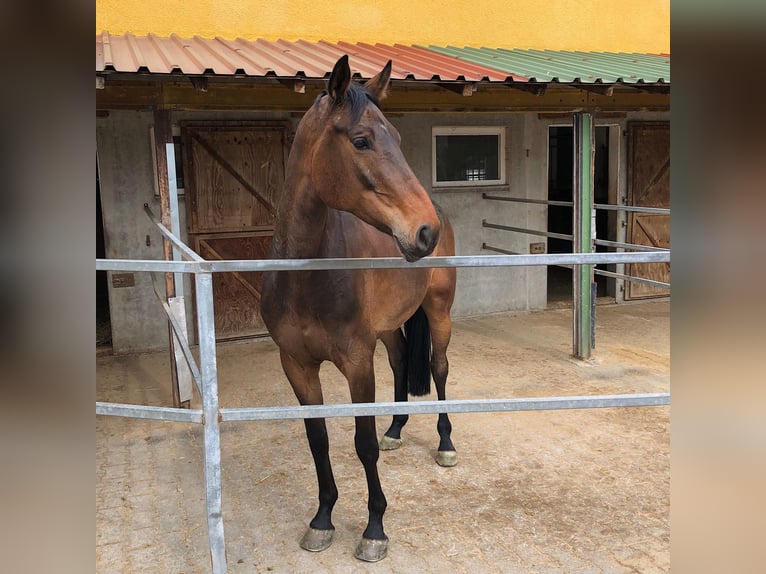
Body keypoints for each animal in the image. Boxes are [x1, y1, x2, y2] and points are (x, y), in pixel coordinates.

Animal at [260, 55, 460, 564]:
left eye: (399, 139)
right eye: (362, 140)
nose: (425, 231)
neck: (306, 278)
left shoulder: (355, 362)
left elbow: (362, 443)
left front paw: (374, 528)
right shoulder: (296, 365)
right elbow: (318, 440)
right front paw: (322, 518)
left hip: (439, 312)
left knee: (439, 367)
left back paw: (446, 442)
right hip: (389, 328)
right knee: (401, 360)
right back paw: (397, 429)